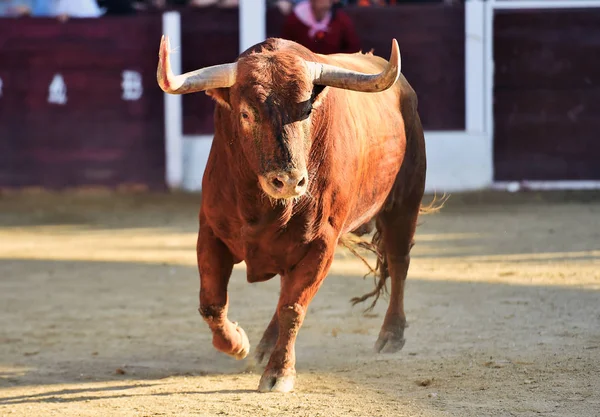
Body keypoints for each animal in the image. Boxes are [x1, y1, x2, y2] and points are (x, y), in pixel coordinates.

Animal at [155, 34, 426, 392]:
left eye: (307, 110)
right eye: (246, 114)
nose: (288, 181)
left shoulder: (321, 243)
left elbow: (293, 307)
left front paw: (279, 372)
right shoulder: (211, 232)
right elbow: (212, 303)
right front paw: (238, 342)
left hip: (404, 202)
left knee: (398, 262)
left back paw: (392, 335)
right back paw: (263, 345)